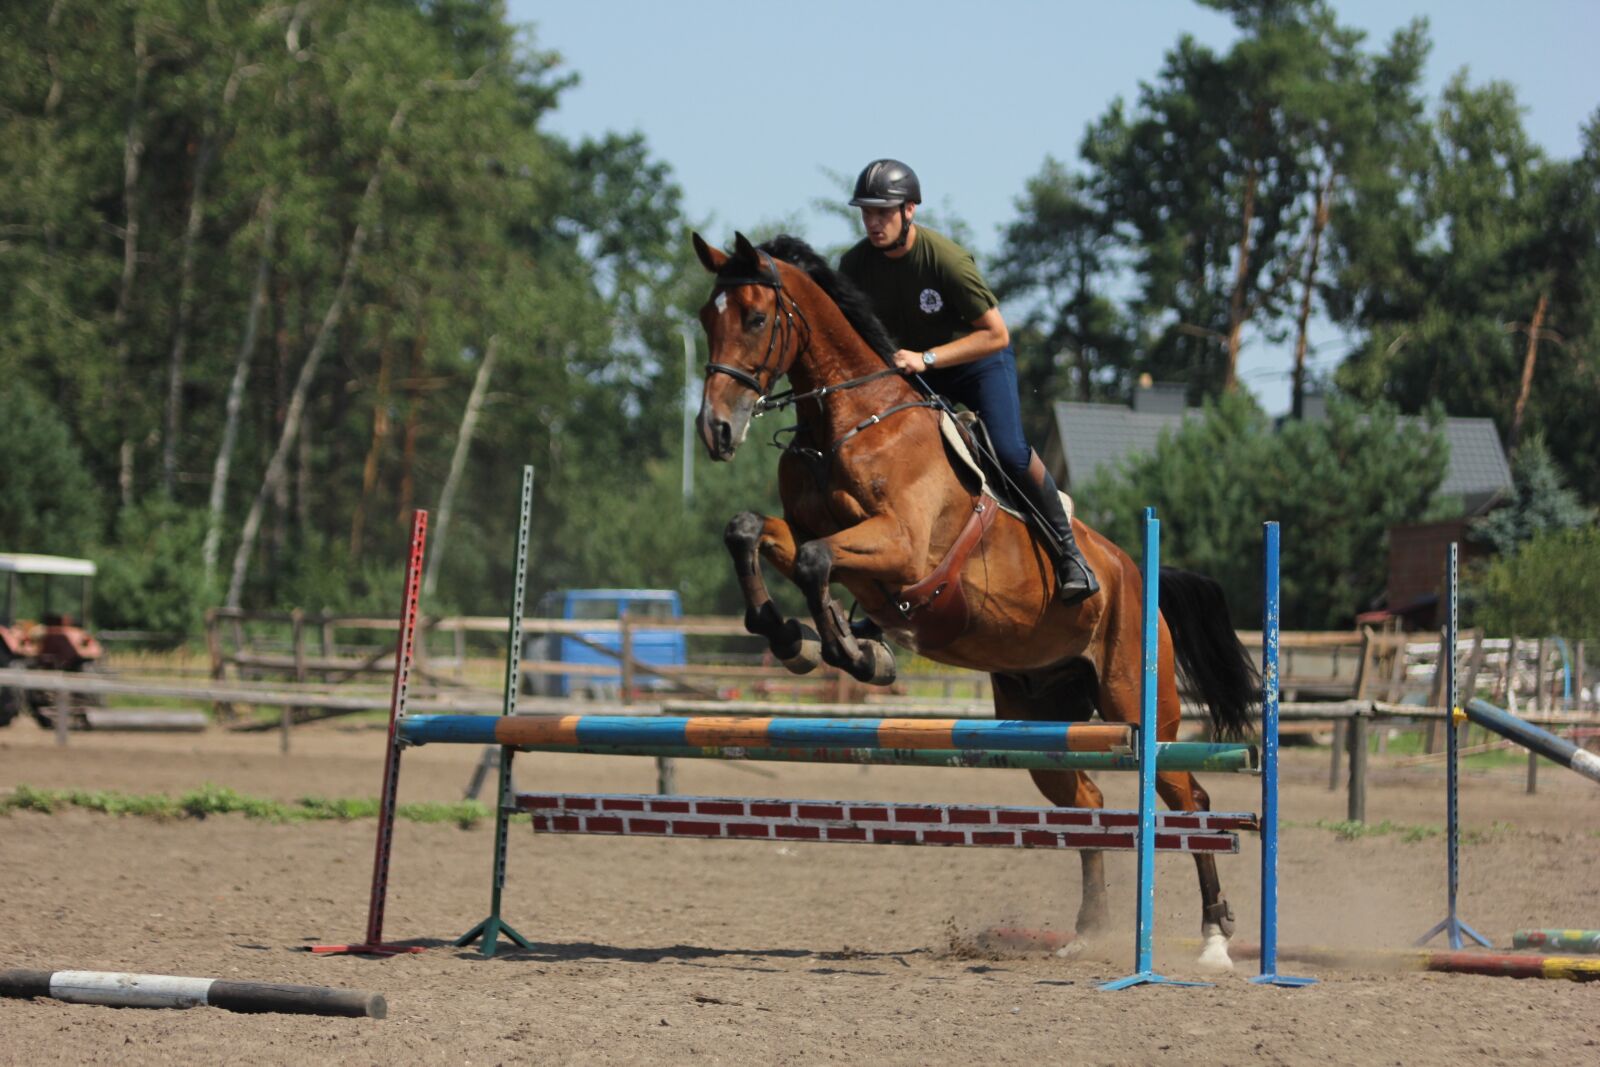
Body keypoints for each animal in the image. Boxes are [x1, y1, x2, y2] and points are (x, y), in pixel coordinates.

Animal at [691, 231, 1259, 970]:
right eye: (706, 319)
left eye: (756, 318)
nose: (715, 431)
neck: (848, 421)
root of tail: (1139, 577)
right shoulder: (814, 531)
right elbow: (749, 530)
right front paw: (792, 639)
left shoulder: (902, 549)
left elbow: (816, 561)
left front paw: (856, 652)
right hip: (1044, 720)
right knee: (1088, 798)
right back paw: (1088, 929)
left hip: (1138, 706)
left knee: (1190, 799)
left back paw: (1216, 935)